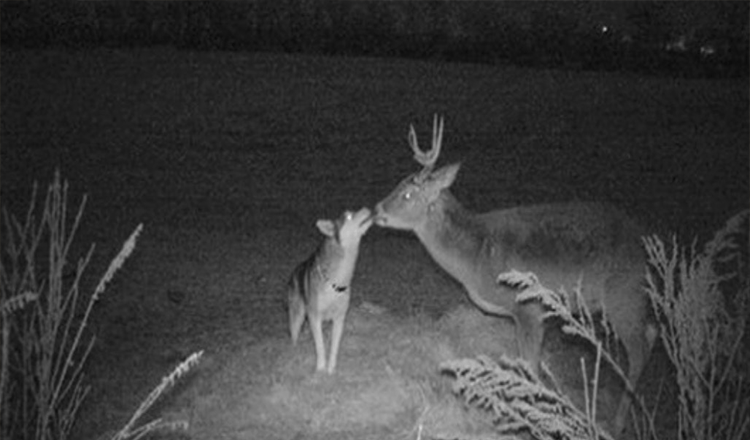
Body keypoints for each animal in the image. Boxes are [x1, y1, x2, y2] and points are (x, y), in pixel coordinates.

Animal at [376, 114, 656, 434]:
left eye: (408, 193)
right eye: (399, 184)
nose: (376, 210)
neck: (476, 255)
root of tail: (645, 246)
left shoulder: (529, 308)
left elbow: (530, 368)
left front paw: (528, 419)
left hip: (623, 295)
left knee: (639, 349)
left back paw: (617, 423)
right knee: (652, 331)